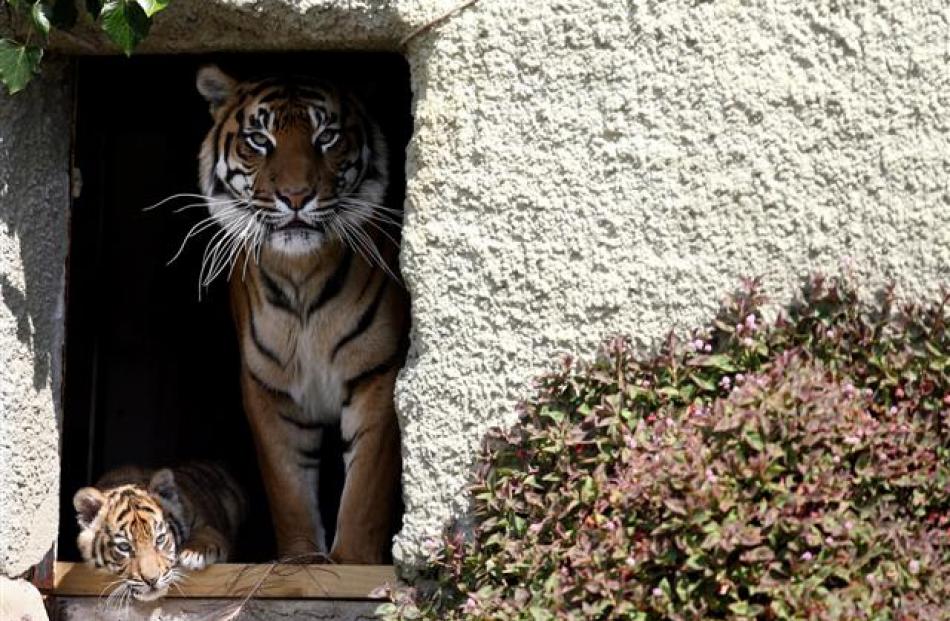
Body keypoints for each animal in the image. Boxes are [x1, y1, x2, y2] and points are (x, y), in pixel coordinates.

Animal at [194, 65, 408, 564]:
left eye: (326, 136)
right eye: (259, 139)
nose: (295, 197)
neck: (301, 275)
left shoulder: (378, 373)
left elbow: (365, 489)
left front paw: (353, 562)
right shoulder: (268, 388)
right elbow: (288, 489)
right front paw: (301, 561)